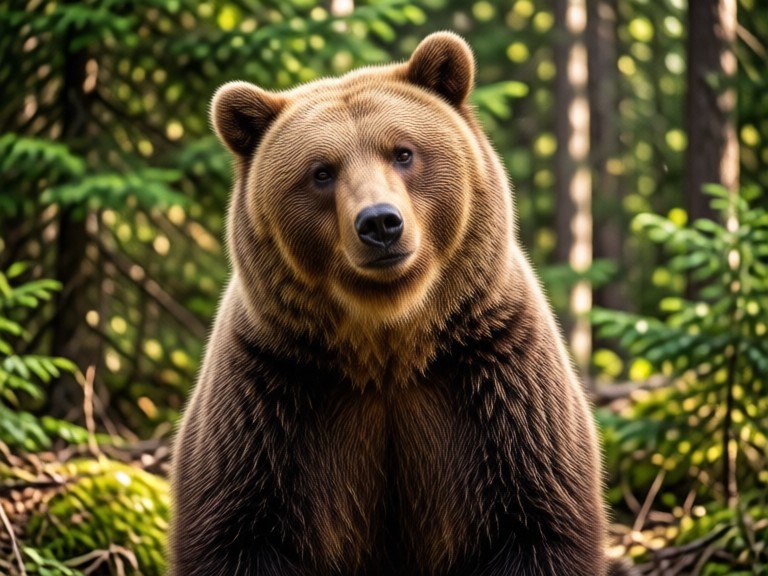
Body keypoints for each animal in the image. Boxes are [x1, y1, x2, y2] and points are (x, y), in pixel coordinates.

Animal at [171, 32, 634, 576]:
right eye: (321, 172)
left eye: (403, 152)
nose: (379, 223)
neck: (388, 342)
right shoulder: (270, 398)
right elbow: (237, 531)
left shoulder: (499, 384)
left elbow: (539, 521)